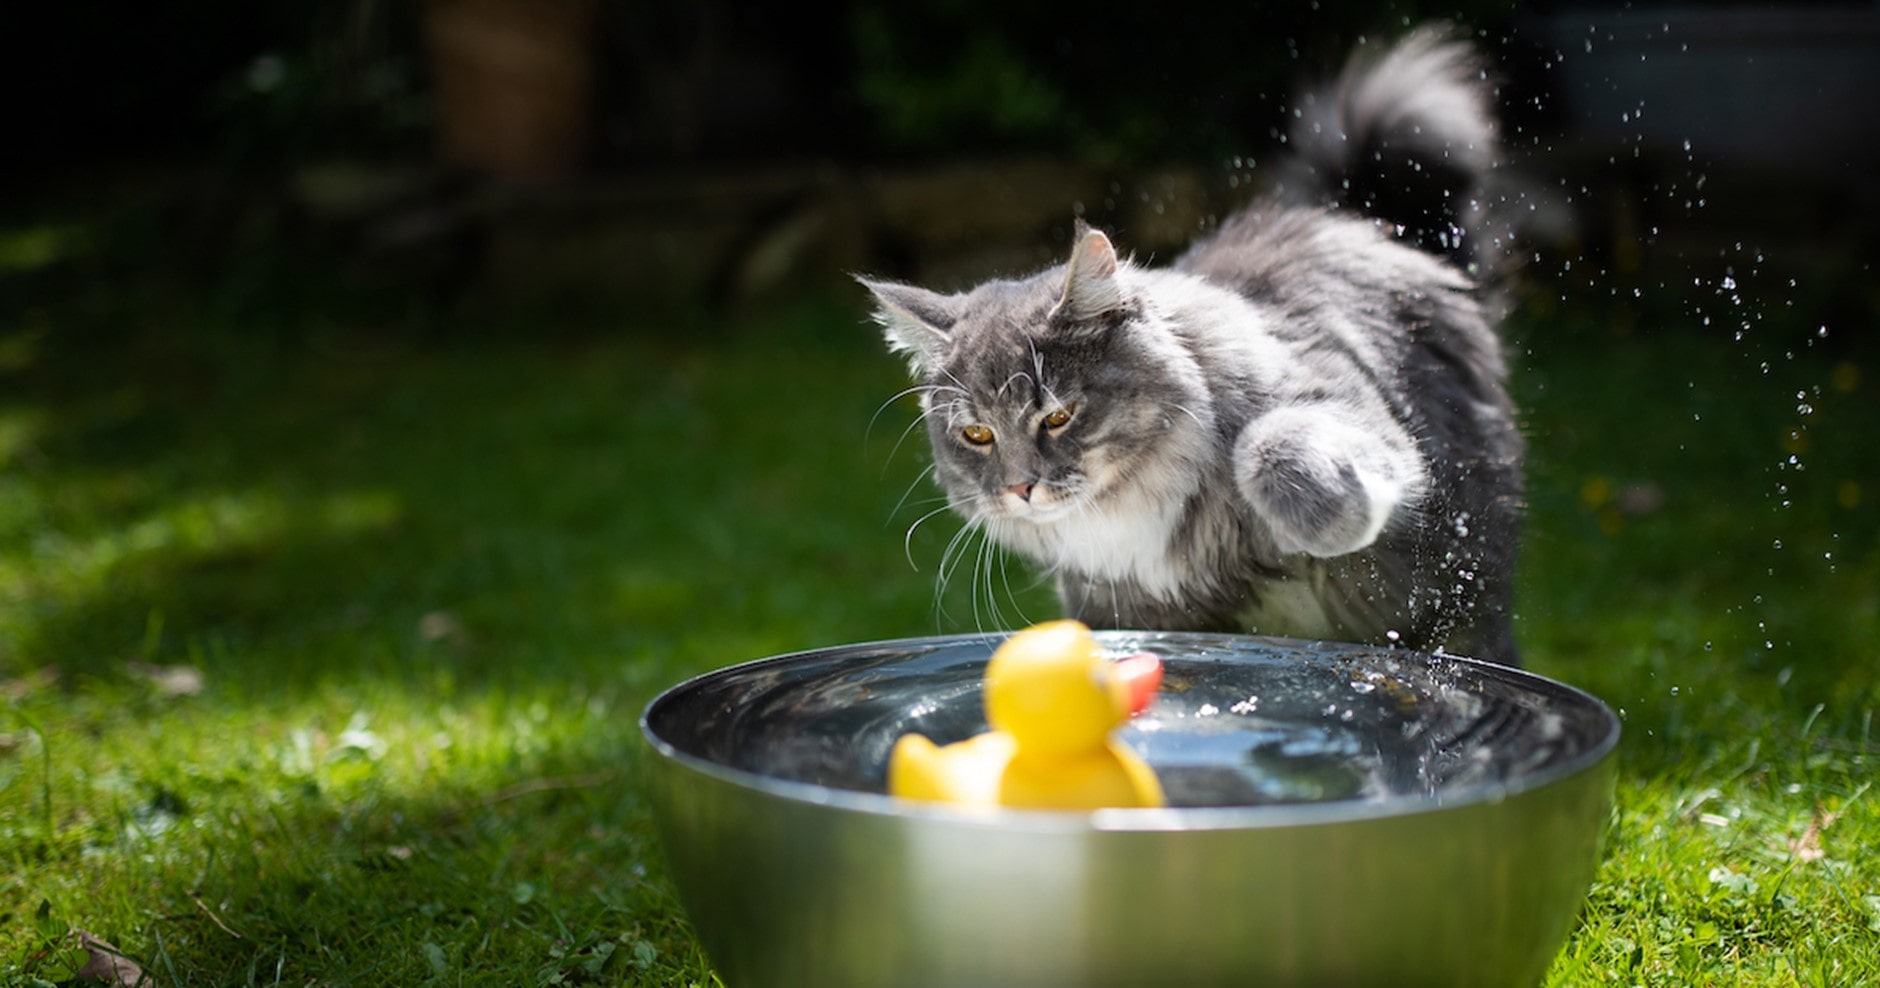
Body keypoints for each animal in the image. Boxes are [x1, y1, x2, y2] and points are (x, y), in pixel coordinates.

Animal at [864, 27, 1526, 664]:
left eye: (1057, 417)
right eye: (977, 435)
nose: (1020, 488)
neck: (1126, 518)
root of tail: (1363, 223)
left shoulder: (1346, 408)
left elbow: (1271, 445)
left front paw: (1329, 523)